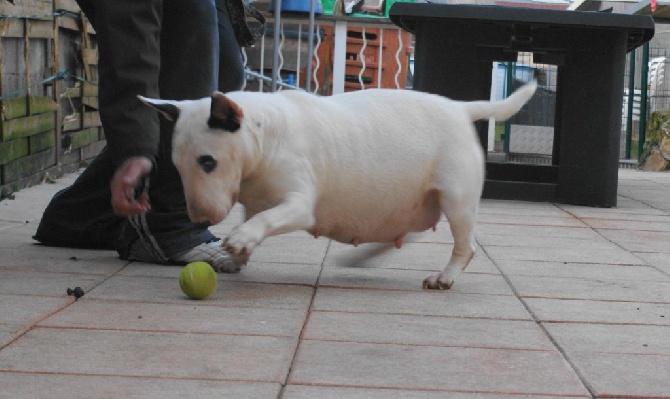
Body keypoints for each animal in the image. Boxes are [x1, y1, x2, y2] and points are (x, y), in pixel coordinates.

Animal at [139, 81, 540, 290]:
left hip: (456, 197)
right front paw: (235, 257)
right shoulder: (253, 201)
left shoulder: (300, 205)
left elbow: (266, 220)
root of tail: (461, 108)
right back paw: (364, 257)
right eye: (177, 166)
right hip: (419, 199)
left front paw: (238, 240)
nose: (200, 219)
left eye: (208, 162)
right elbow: (255, 219)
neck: (265, 133)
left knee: (465, 244)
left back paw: (444, 277)